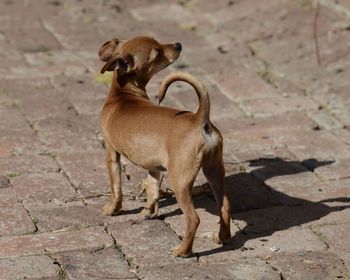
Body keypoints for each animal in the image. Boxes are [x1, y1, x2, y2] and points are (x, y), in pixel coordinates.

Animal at [97, 36, 231, 258]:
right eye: (157, 52)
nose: (178, 44)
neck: (123, 94)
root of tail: (199, 119)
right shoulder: (153, 167)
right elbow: (153, 190)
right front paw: (148, 212)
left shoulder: (111, 153)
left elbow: (116, 187)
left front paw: (112, 209)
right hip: (214, 171)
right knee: (225, 206)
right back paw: (223, 237)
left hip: (180, 181)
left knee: (193, 219)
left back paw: (183, 251)